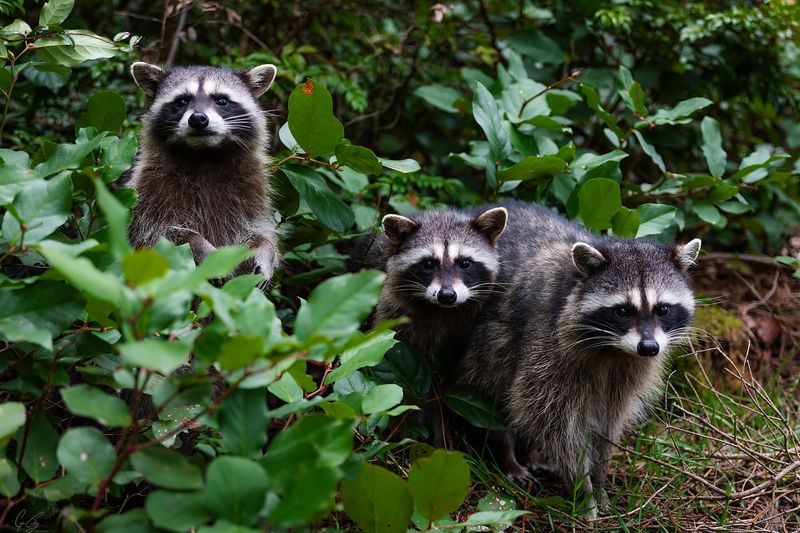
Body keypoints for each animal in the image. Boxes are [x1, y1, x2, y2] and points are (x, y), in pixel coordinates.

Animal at [122, 61, 278, 278]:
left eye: (222, 100)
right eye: (181, 101)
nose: (198, 118)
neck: (205, 154)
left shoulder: (253, 188)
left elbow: (257, 229)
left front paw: (264, 249)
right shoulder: (150, 187)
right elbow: (154, 233)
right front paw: (199, 244)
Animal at [456, 200, 700, 516]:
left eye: (663, 309)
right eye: (623, 311)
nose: (649, 347)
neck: (614, 350)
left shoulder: (630, 370)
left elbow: (609, 423)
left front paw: (600, 478)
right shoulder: (549, 349)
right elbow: (558, 424)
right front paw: (583, 489)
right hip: (487, 344)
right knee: (496, 390)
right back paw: (506, 452)